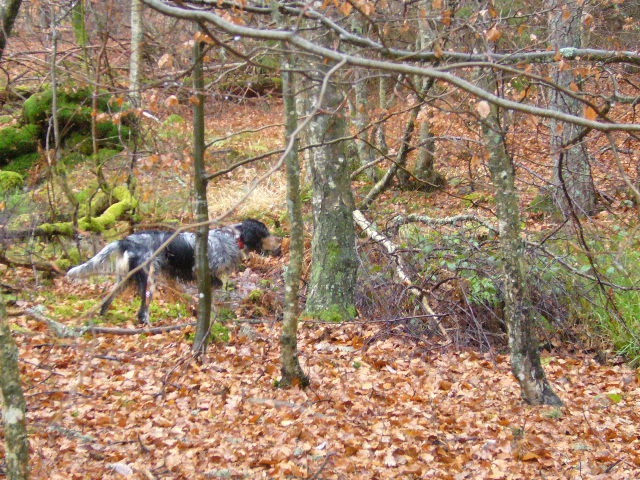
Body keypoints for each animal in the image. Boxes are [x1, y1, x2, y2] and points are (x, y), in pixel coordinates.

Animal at [65, 219, 282, 324]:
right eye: (265, 232)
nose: (280, 244)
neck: (233, 237)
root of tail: (126, 240)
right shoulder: (202, 272)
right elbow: (216, 287)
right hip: (150, 279)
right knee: (142, 312)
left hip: (124, 279)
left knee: (107, 300)